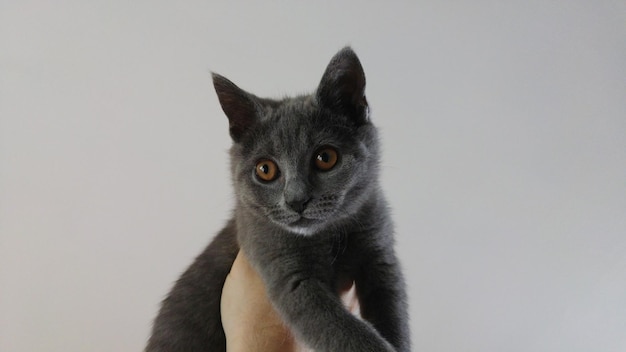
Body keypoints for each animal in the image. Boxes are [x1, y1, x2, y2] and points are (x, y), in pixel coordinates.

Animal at [146, 47, 410, 352]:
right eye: (265, 169)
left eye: (326, 157)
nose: (296, 200)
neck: (330, 234)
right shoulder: (285, 270)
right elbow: (339, 327)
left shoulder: (381, 257)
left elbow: (393, 311)